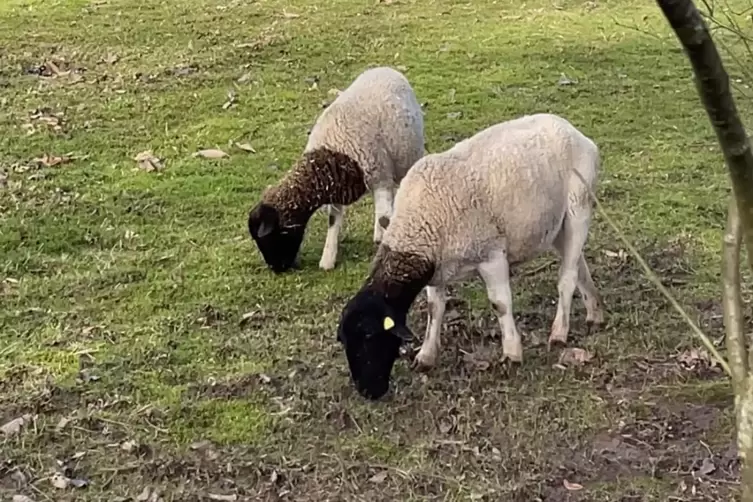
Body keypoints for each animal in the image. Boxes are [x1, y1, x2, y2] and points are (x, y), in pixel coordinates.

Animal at [247, 66, 424, 272]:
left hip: (405, 158)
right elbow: (334, 221)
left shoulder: (378, 177)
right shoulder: (338, 188)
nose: (276, 268)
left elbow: (384, 219)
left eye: (272, 235)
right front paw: (327, 259)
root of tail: (385, 68)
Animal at [334, 113, 604, 400]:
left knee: (567, 277)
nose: (367, 392)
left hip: (578, 207)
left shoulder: (492, 255)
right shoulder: (436, 270)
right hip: (555, 224)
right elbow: (435, 309)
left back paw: (559, 333)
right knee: (578, 265)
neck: (419, 223)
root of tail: (573, 131)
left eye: (370, 337)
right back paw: (595, 312)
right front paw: (426, 356)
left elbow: (500, 305)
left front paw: (512, 353)